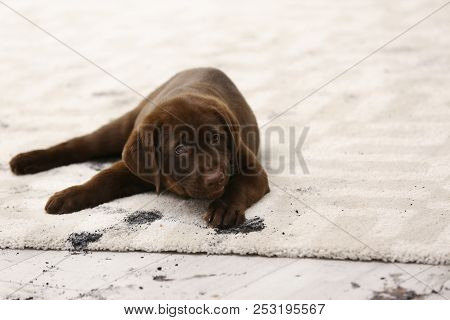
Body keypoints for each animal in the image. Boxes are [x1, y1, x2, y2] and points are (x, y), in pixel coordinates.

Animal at [10, 67, 268, 228]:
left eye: (216, 138)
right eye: (180, 149)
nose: (216, 179)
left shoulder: (251, 169)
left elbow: (238, 187)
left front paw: (224, 208)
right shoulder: (136, 168)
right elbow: (102, 179)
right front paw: (69, 195)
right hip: (122, 127)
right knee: (80, 145)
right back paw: (25, 161)